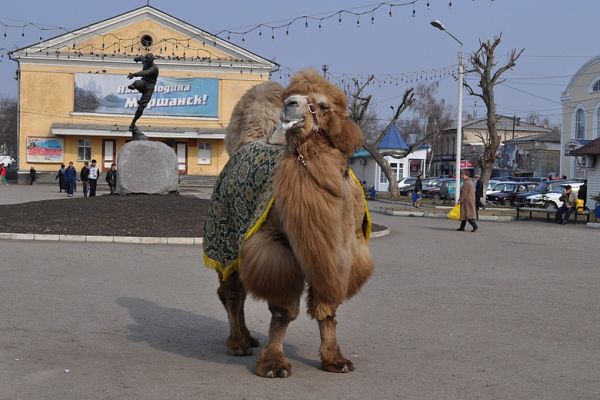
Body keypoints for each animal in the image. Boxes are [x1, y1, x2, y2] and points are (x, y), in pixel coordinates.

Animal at [206, 69, 376, 378]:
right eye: (294, 97)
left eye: (321, 105)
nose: (290, 104)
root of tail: (246, 143)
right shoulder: (277, 246)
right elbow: (283, 310)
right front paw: (273, 364)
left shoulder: (340, 251)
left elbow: (327, 308)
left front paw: (335, 360)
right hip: (223, 238)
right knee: (231, 291)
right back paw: (237, 343)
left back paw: (248, 337)